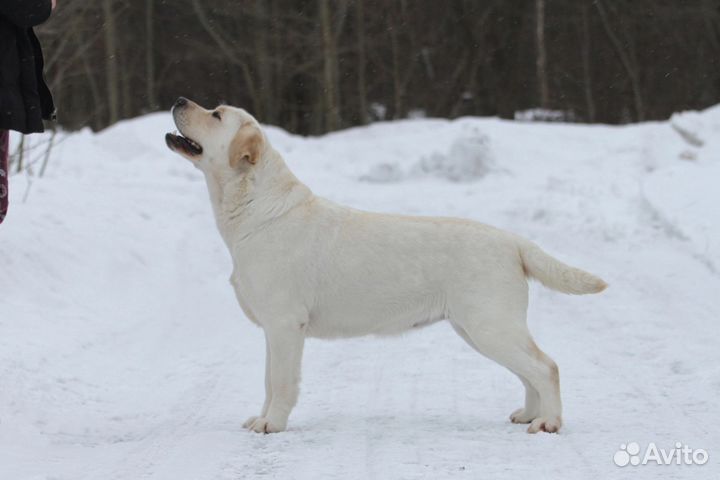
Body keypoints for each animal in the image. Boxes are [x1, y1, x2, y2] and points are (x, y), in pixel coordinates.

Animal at [165, 97, 608, 436]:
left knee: (546, 367)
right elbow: (267, 381)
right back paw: (529, 414)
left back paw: (549, 423)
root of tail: (513, 240)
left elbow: (281, 382)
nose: (180, 100)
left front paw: (272, 424)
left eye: (216, 115)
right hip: (479, 329)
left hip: (490, 325)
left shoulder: (285, 324)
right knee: (529, 370)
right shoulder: (274, 330)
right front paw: (260, 418)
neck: (253, 207)